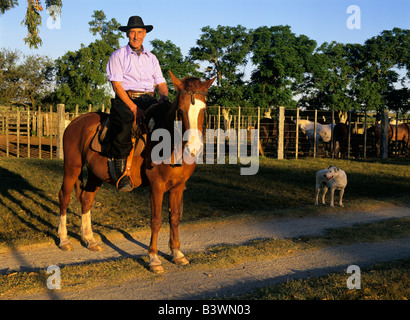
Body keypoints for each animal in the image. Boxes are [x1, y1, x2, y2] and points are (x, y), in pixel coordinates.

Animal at [60, 72, 218, 272]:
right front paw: (154, 259)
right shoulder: (157, 186)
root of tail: (74, 122)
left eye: (203, 110)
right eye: (180, 110)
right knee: (64, 197)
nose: (194, 148)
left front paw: (177, 254)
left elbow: (174, 218)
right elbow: (156, 220)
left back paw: (90, 240)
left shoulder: (178, 187)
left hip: (95, 175)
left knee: (86, 199)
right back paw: (64, 239)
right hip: (72, 167)